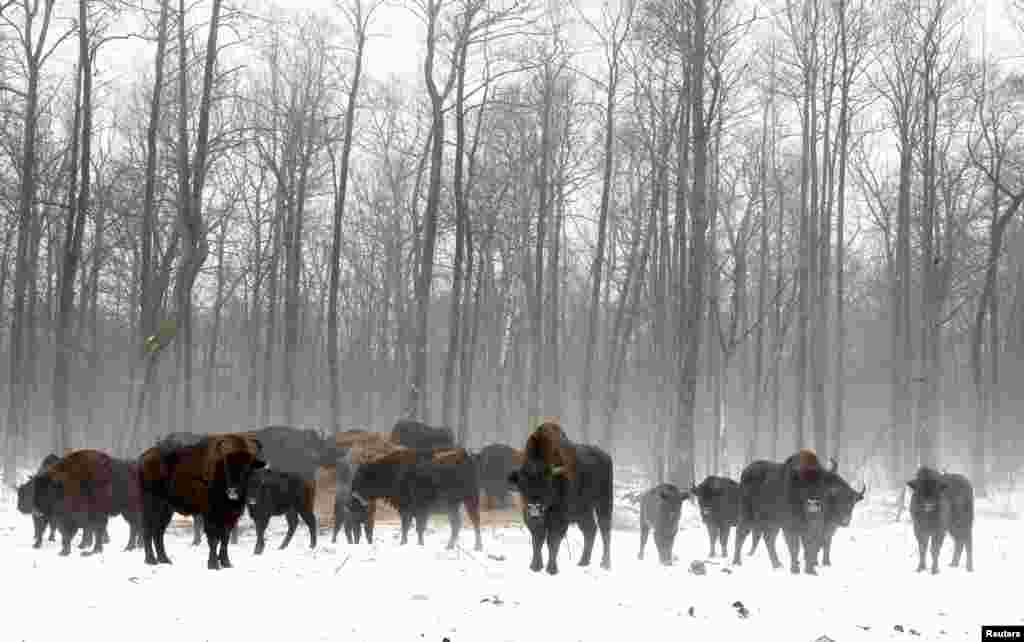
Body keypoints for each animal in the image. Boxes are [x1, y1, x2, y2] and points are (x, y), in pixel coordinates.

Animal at [140, 434, 268, 569]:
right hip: (151, 505)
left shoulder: (230, 516)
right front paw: (213, 564)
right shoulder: (210, 515)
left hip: (166, 510)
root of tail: (144, 457)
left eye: (247, 467)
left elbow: (225, 539)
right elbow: (213, 539)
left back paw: (164, 560)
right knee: (148, 529)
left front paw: (226, 563)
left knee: (158, 531)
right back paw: (151, 560)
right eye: (226, 465)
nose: (233, 491)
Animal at [507, 423, 610, 573]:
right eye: (522, 484)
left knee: (605, 529)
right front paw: (535, 566)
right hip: (583, 512)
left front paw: (551, 569)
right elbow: (537, 540)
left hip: (603, 503)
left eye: (547, 484)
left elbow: (553, 541)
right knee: (590, 530)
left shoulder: (560, 519)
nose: (534, 508)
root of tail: (605, 456)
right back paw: (583, 562)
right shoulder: (530, 519)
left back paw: (605, 564)